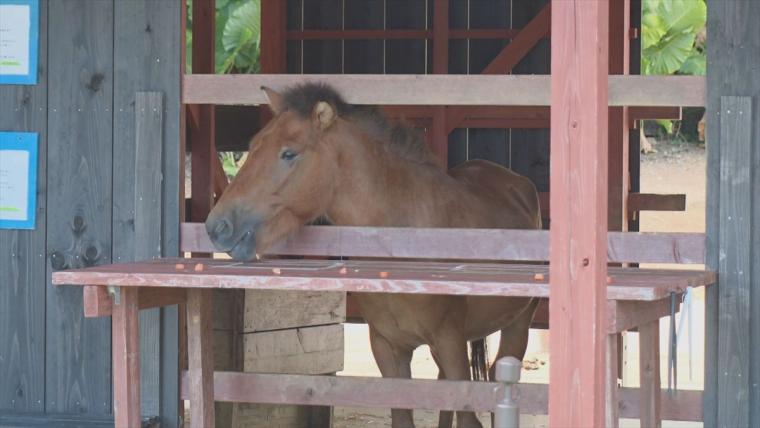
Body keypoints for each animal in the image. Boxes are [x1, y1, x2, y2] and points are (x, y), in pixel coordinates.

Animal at [205, 83, 541, 428]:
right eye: (253, 146)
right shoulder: (386, 347)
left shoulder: (449, 341)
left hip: (517, 326)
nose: (218, 226)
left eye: (289, 153)